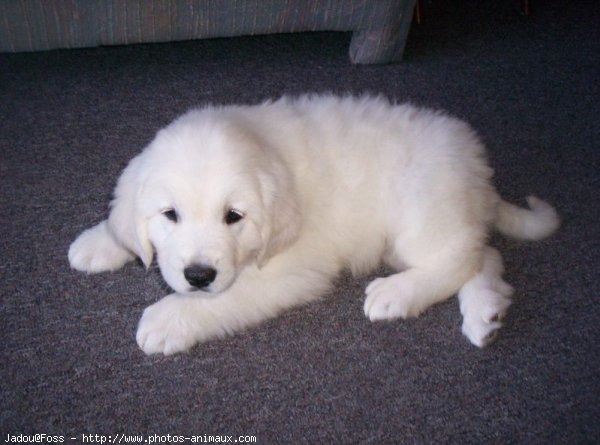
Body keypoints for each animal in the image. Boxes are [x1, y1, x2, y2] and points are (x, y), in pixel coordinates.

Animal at [68, 93, 560, 354]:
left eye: (233, 217)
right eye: (170, 215)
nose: (199, 275)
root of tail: (479, 173)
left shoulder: (292, 269)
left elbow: (225, 298)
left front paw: (168, 319)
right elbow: (123, 221)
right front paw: (99, 242)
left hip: (419, 209)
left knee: (462, 257)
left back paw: (397, 294)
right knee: (484, 251)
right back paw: (485, 312)